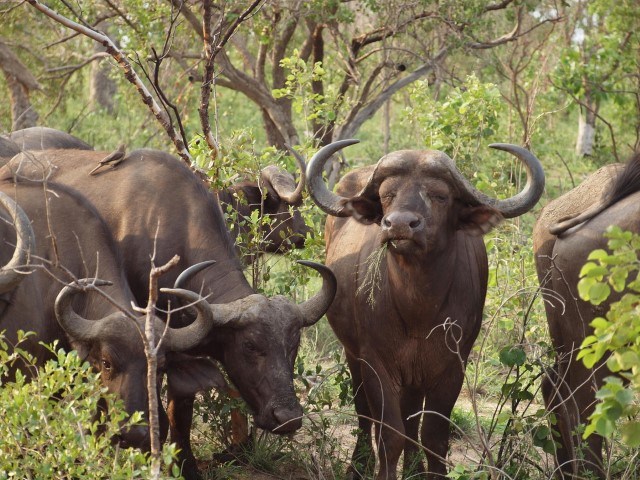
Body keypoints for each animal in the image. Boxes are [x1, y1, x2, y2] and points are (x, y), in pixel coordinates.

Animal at [306, 141, 544, 478]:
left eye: (440, 195)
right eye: (387, 194)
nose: (399, 224)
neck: (417, 308)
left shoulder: (453, 366)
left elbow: (433, 435)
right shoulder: (375, 362)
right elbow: (390, 434)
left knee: (411, 418)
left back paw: (414, 468)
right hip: (353, 354)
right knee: (365, 413)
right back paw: (358, 466)